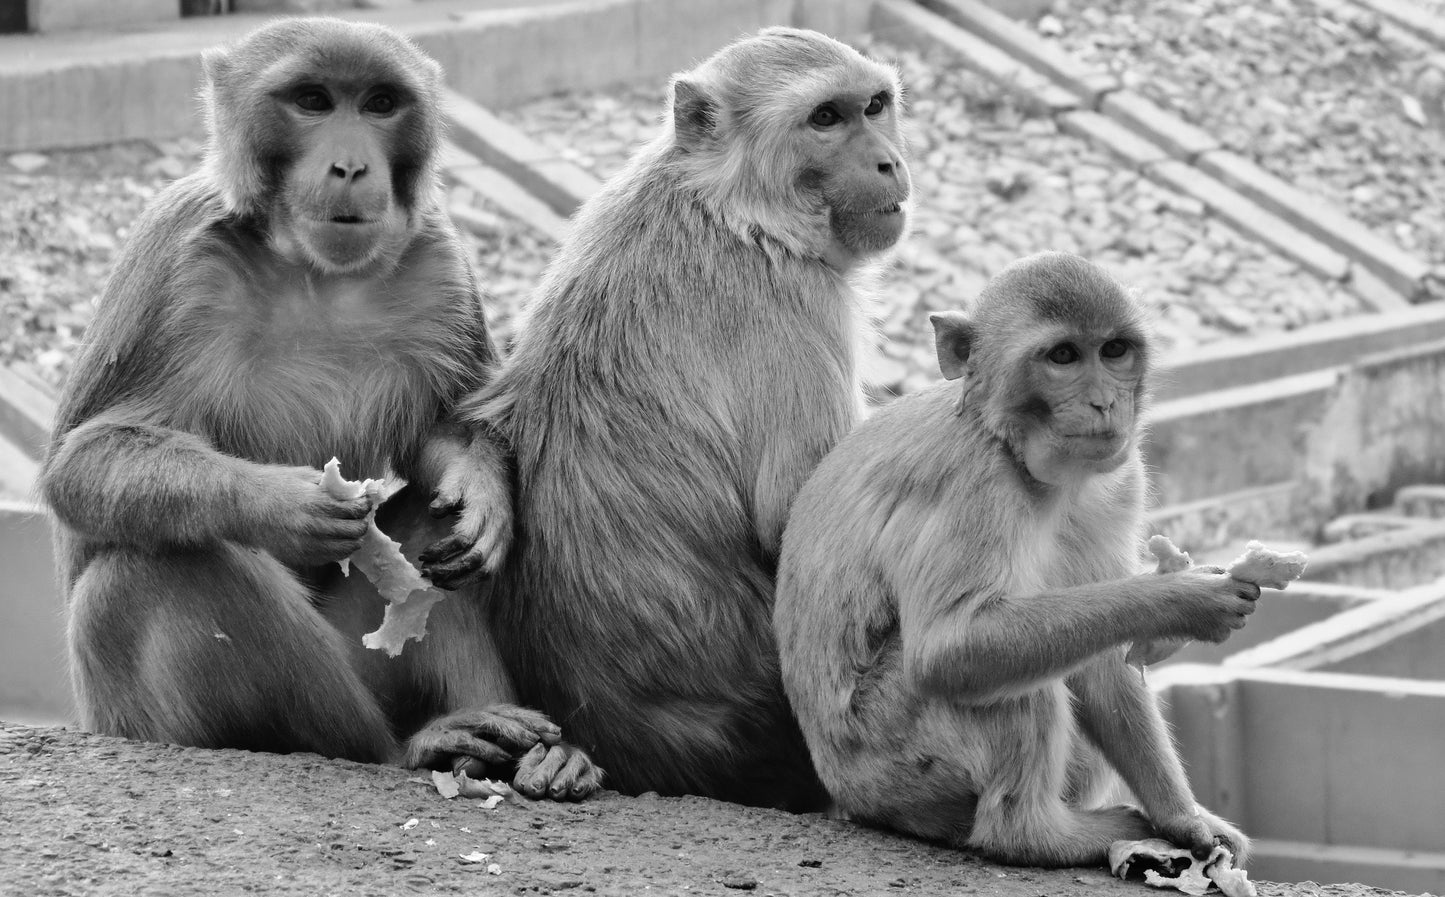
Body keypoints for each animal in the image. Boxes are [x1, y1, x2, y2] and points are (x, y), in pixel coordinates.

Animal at [39, 18, 600, 800]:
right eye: (312, 100)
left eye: (379, 103)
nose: (351, 167)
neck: (313, 271)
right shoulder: (177, 255)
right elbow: (83, 461)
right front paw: (284, 503)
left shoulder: (440, 260)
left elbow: (444, 435)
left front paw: (482, 495)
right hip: (133, 712)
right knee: (152, 570)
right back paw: (409, 746)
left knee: (424, 528)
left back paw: (517, 745)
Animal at [461, 27, 911, 809]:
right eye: (825, 118)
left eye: (875, 106)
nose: (887, 159)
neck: (728, 202)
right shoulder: (799, 303)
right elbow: (797, 523)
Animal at [773, 252, 1257, 865]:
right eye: (1063, 356)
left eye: (1114, 350)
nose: (1105, 402)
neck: (1016, 448)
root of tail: (846, 793)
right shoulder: (972, 481)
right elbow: (950, 648)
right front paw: (1185, 599)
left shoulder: (1122, 480)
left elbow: (1106, 665)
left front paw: (1184, 819)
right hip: (891, 756)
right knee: (1004, 678)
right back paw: (1037, 834)